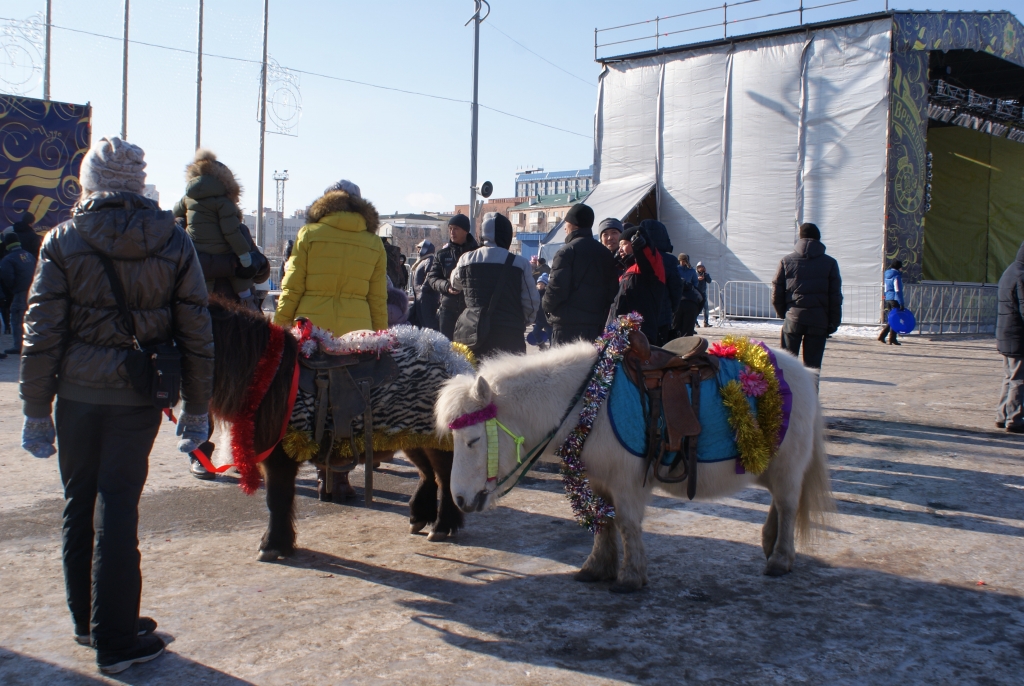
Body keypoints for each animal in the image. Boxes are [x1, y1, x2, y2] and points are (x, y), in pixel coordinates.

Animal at [205, 298, 462, 561]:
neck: (270, 372)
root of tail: (447, 352)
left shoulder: (279, 454)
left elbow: (277, 498)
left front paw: (272, 545)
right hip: (411, 435)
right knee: (427, 473)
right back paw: (419, 516)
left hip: (435, 438)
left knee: (444, 476)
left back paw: (441, 526)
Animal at [438, 341, 831, 593]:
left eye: (472, 440)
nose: (459, 499)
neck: (588, 402)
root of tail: (802, 371)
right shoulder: (598, 480)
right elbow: (604, 523)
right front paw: (597, 567)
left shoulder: (626, 483)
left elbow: (626, 524)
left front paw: (630, 577)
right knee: (779, 504)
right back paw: (769, 543)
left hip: (788, 466)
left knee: (788, 504)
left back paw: (780, 558)